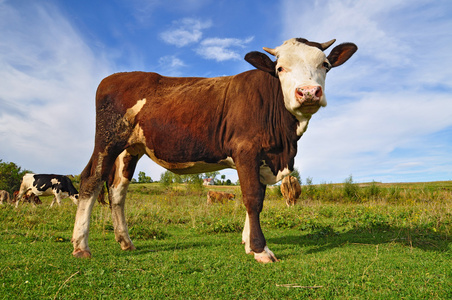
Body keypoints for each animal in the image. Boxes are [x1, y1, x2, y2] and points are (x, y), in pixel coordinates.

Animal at [72, 37, 356, 262]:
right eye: (280, 68)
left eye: (325, 65)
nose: (308, 92)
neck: (284, 144)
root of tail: (116, 76)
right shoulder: (246, 150)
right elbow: (252, 197)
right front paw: (261, 250)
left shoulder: (263, 158)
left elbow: (258, 198)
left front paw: (248, 244)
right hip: (108, 140)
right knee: (91, 180)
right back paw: (81, 246)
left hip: (130, 149)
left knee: (118, 190)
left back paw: (126, 242)